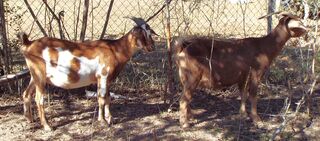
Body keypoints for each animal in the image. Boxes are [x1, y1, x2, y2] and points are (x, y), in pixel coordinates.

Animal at [17, 17, 158, 131]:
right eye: (142, 34)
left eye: (150, 33)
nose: (152, 47)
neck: (115, 49)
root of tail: (28, 44)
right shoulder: (102, 76)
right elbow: (101, 98)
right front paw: (103, 121)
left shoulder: (107, 79)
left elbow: (108, 98)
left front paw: (110, 119)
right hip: (39, 74)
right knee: (39, 99)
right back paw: (47, 126)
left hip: (34, 75)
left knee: (26, 93)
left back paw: (30, 119)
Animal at [174, 12, 308, 128]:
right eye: (298, 22)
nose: (307, 30)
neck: (263, 46)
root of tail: (183, 48)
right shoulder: (256, 73)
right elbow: (253, 95)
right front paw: (257, 120)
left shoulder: (243, 77)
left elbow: (243, 94)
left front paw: (243, 115)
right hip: (193, 76)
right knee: (184, 99)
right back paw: (184, 124)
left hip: (184, 77)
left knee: (187, 96)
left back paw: (190, 117)